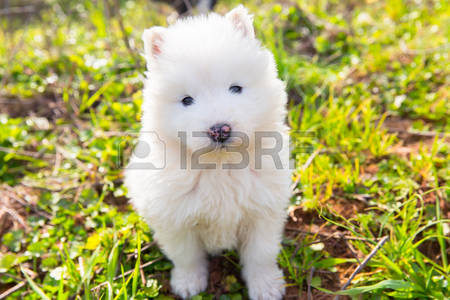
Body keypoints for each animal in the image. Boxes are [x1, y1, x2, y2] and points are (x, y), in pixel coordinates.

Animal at [125, 5, 290, 300]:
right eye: (186, 100)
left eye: (235, 88)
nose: (219, 130)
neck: (221, 166)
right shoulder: (175, 220)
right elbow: (186, 256)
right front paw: (188, 282)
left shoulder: (263, 212)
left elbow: (260, 254)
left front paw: (266, 286)